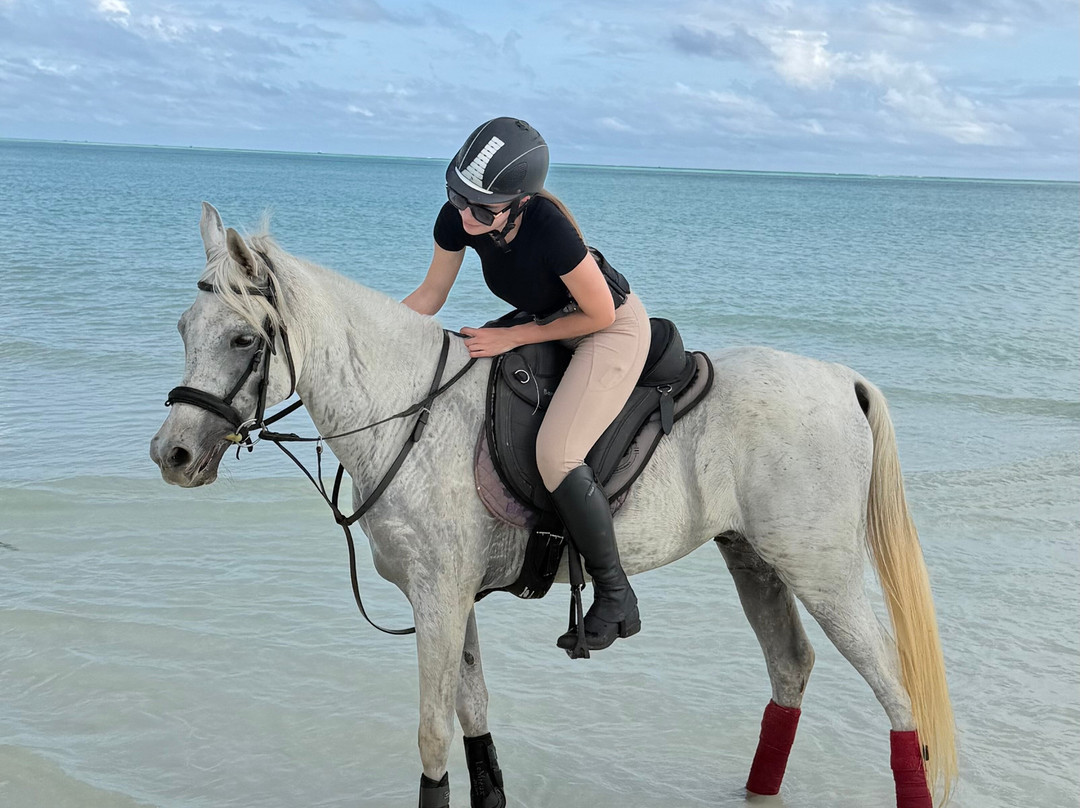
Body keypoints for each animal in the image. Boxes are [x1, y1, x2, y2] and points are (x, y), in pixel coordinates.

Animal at [150, 203, 957, 808]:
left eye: (243, 338)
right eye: (184, 330)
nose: (172, 455)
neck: (410, 410)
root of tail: (840, 378)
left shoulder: (438, 597)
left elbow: (433, 735)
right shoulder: (451, 598)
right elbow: (473, 717)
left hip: (820, 570)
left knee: (897, 693)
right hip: (753, 558)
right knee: (790, 668)